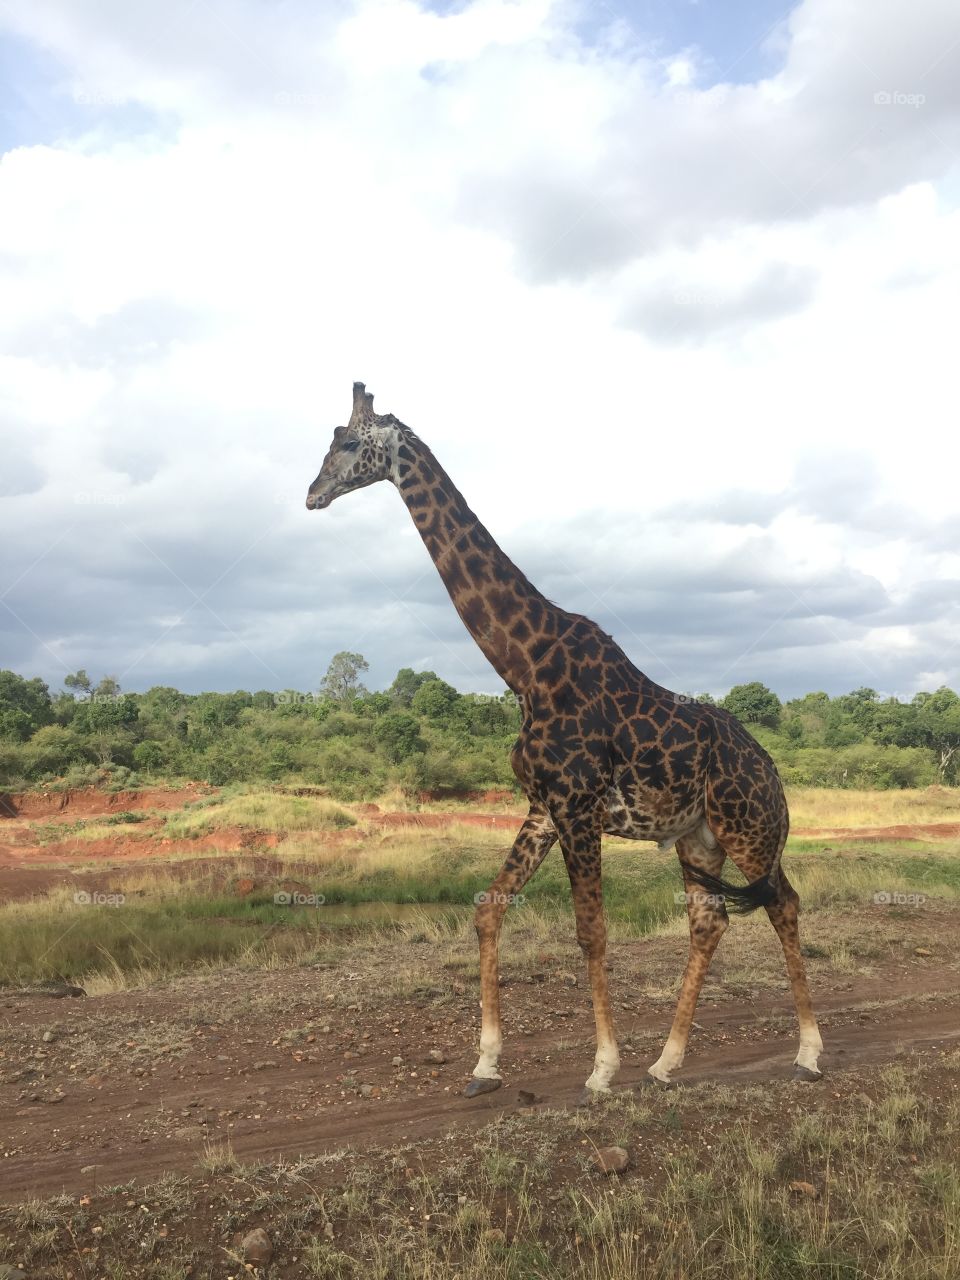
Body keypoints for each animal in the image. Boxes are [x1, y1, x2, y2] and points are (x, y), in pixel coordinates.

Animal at [306, 383, 824, 1101]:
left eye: (351, 442)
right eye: (329, 439)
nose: (312, 494)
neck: (524, 665)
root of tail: (772, 769)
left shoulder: (578, 807)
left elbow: (591, 932)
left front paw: (602, 1068)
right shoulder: (543, 806)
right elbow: (488, 908)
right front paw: (485, 1065)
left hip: (750, 829)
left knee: (785, 904)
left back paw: (808, 1053)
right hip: (698, 839)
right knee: (711, 921)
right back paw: (667, 1062)